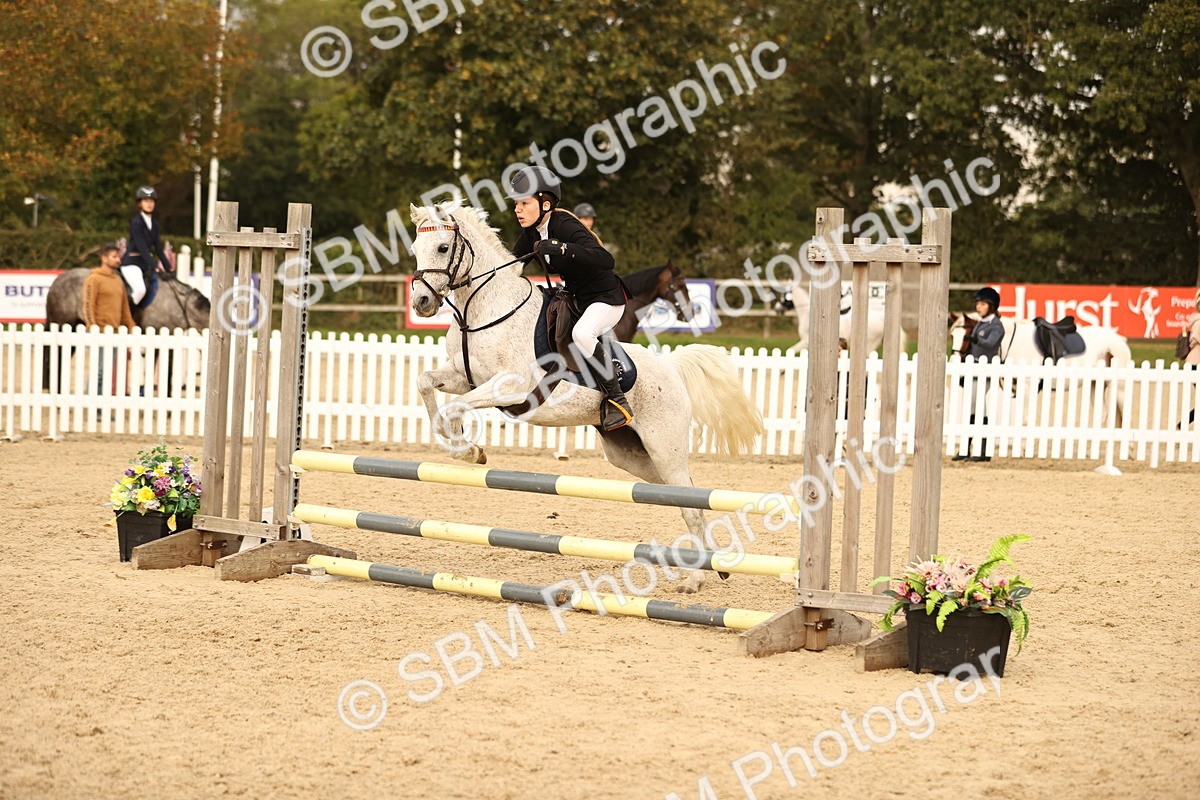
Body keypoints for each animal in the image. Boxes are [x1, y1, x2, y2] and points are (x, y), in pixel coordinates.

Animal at [407, 201, 764, 594]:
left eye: (443, 248)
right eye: (415, 249)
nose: (421, 302)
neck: (483, 312)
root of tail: (671, 367)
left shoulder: (510, 386)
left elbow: (455, 408)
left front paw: (469, 450)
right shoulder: (462, 377)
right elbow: (426, 384)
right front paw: (464, 447)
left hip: (663, 447)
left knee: (690, 503)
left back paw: (695, 579)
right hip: (632, 456)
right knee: (687, 496)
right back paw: (713, 566)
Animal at [947, 312, 1130, 425]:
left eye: (967, 337)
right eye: (952, 336)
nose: (954, 362)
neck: (1012, 342)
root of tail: (1120, 341)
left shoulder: (1028, 387)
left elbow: (1024, 419)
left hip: (1119, 388)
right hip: (1095, 384)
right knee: (1103, 414)